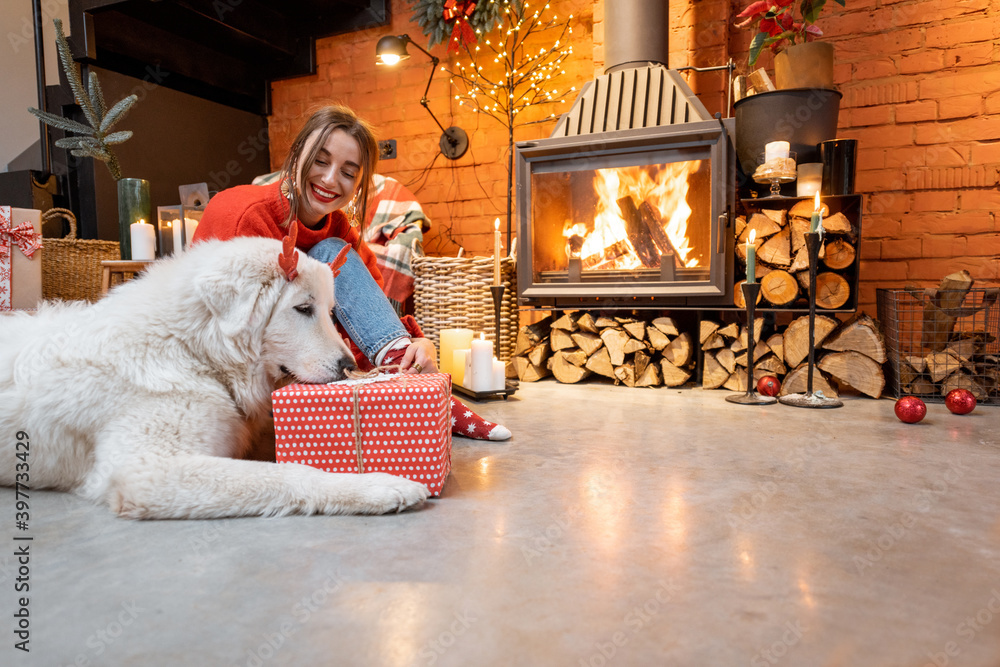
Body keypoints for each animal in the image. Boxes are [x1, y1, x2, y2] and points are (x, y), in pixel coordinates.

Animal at [0, 237, 426, 520]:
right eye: (304, 308)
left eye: (330, 310)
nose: (348, 366)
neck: (191, 349)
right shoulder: (144, 471)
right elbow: (287, 473)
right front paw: (378, 485)